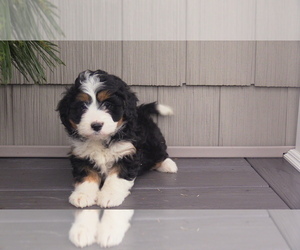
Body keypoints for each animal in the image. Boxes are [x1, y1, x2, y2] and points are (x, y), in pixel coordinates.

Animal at [57, 69, 177, 208]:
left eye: (108, 105)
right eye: (82, 107)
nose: (96, 125)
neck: (102, 140)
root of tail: (141, 111)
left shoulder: (127, 152)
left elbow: (116, 178)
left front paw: (109, 196)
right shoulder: (82, 154)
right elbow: (86, 176)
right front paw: (83, 195)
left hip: (154, 140)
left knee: (160, 152)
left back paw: (168, 165)